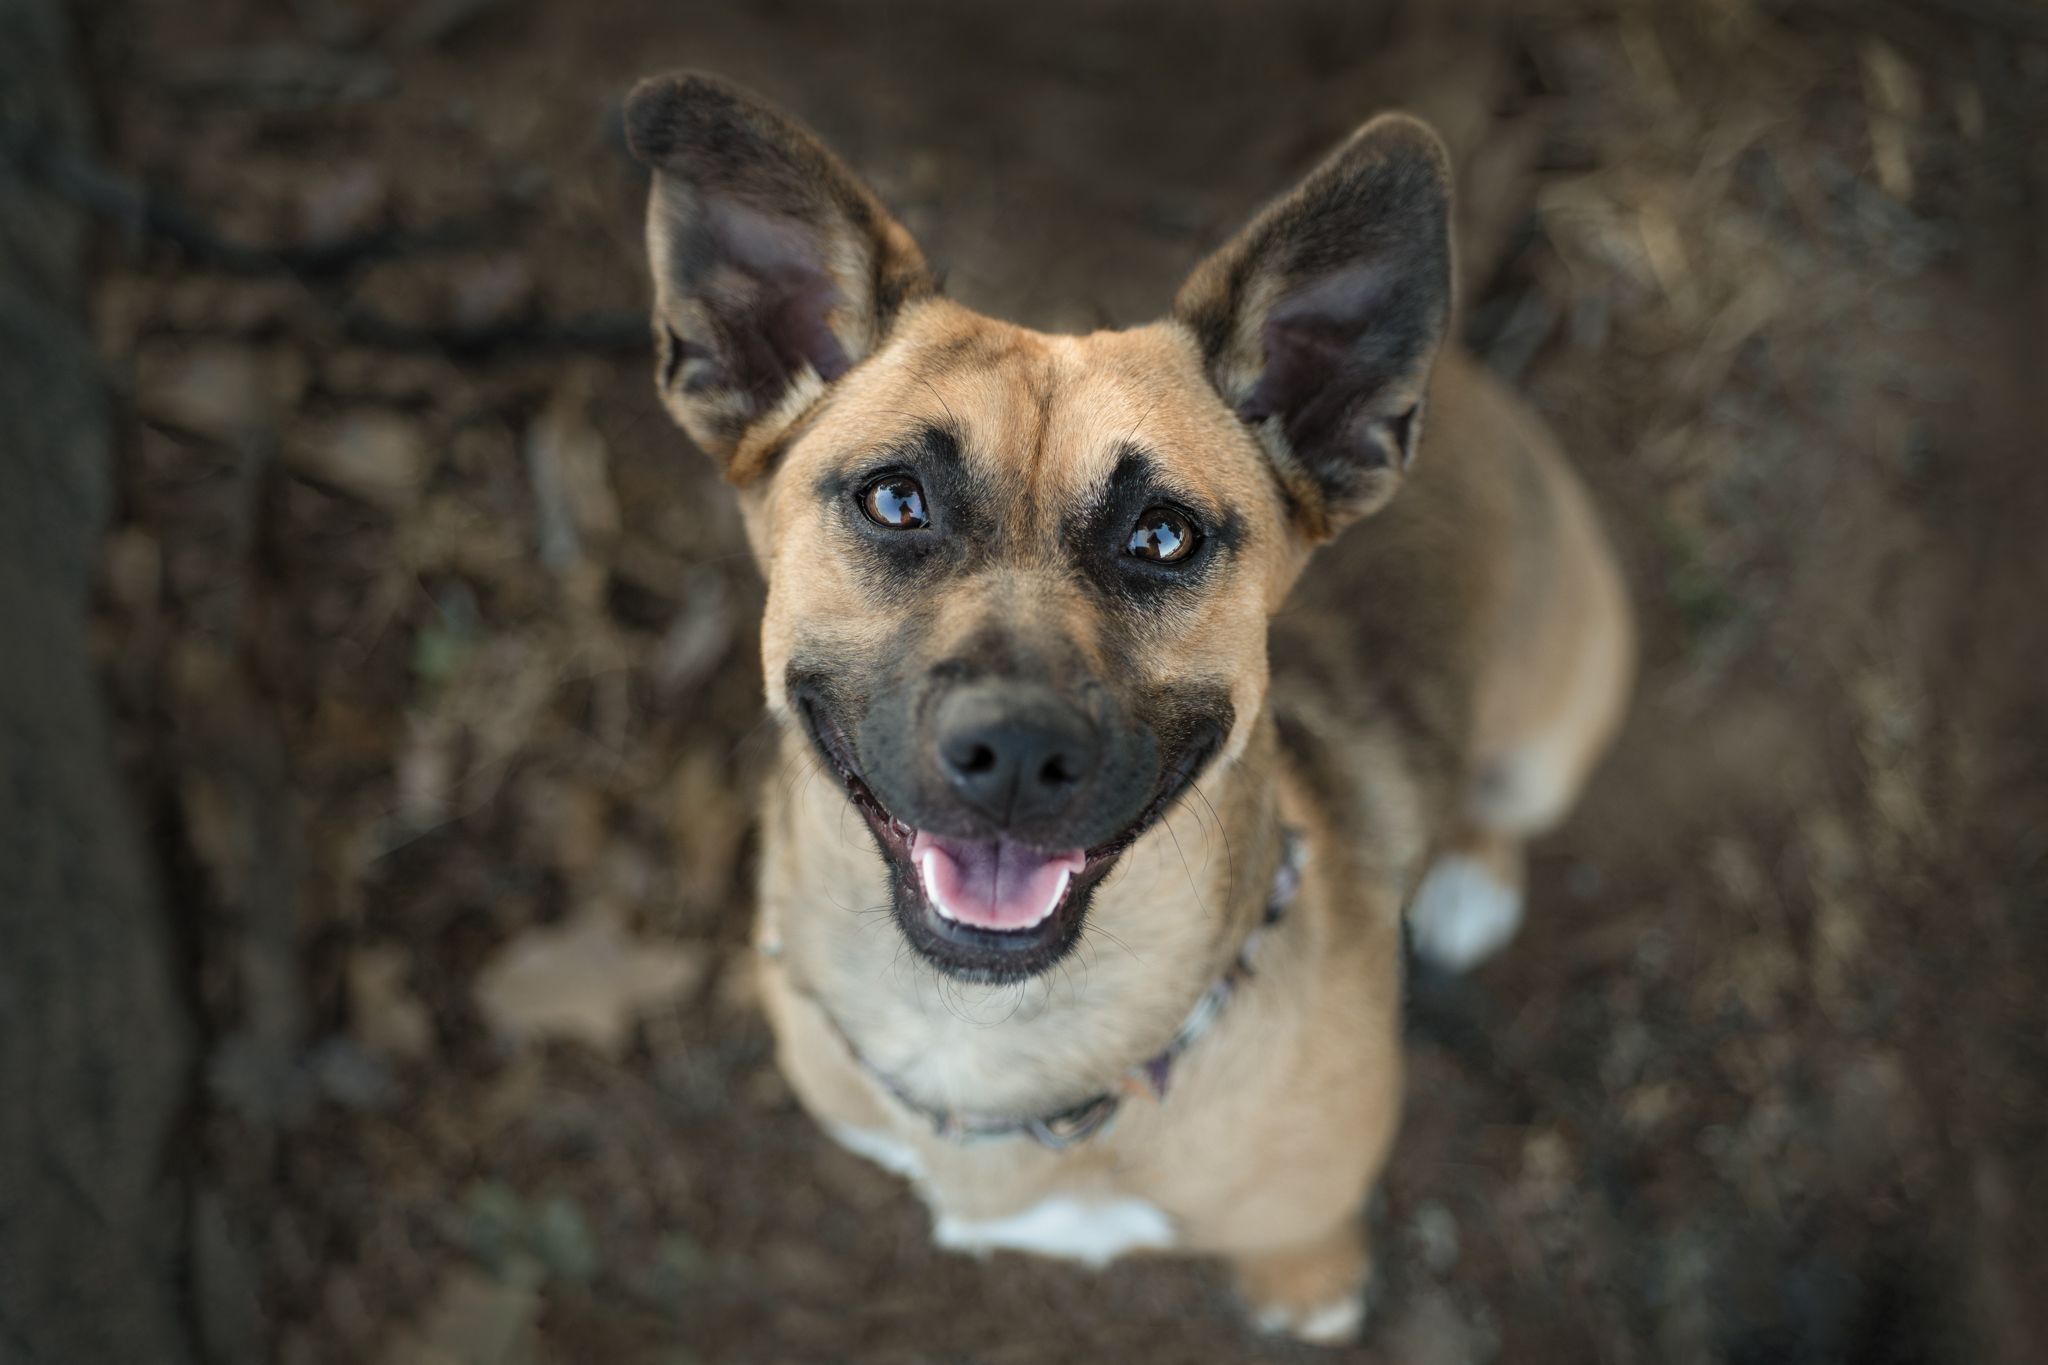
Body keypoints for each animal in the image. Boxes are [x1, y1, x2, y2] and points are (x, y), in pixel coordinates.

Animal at [622, 74, 1630, 1342]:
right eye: (895, 500)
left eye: (1163, 537)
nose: (1012, 753)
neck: (997, 1046)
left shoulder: (1306, 1200)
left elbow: (1303, 1249)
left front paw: (1307, 1297)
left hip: (1549, 730)